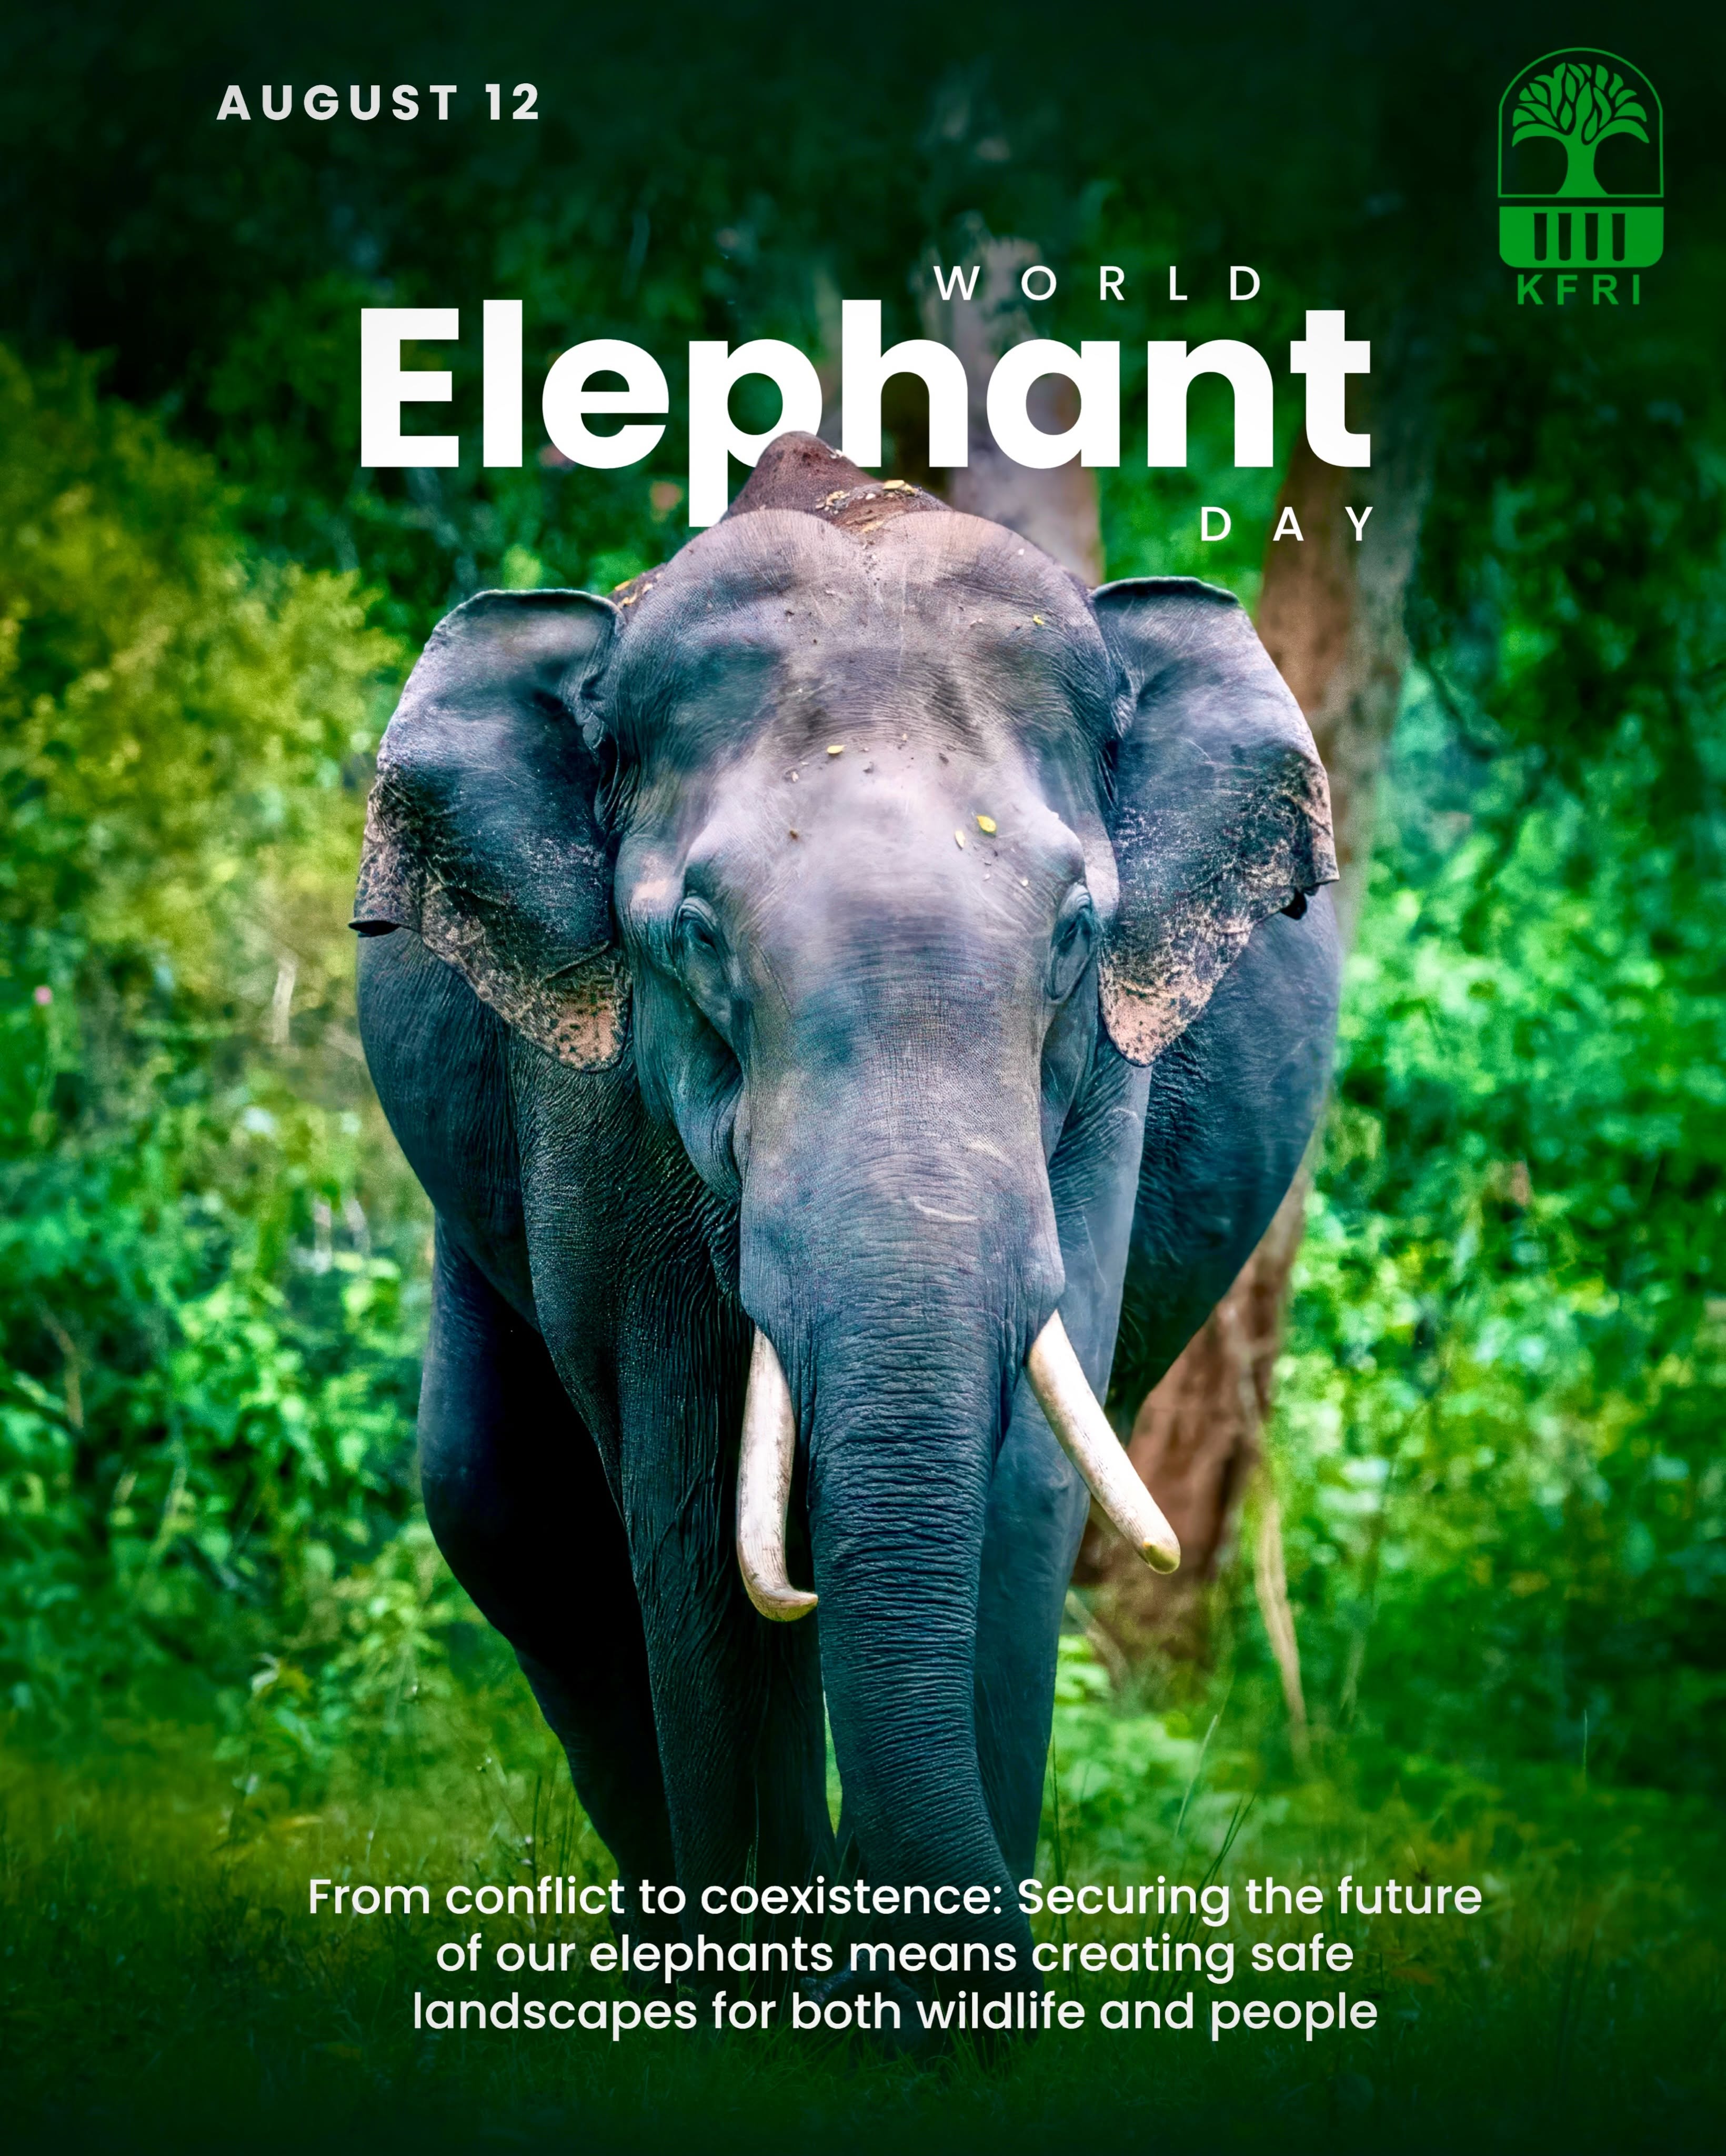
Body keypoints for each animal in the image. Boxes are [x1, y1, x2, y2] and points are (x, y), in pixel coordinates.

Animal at [352, 430, 1340, 1991]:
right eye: (694, 942)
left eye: (1076, 933)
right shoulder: (597, 1100)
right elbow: (689, 1499)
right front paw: (778, 2006)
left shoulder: (1100, 1099)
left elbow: (1020, 1489)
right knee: (504, 1513)